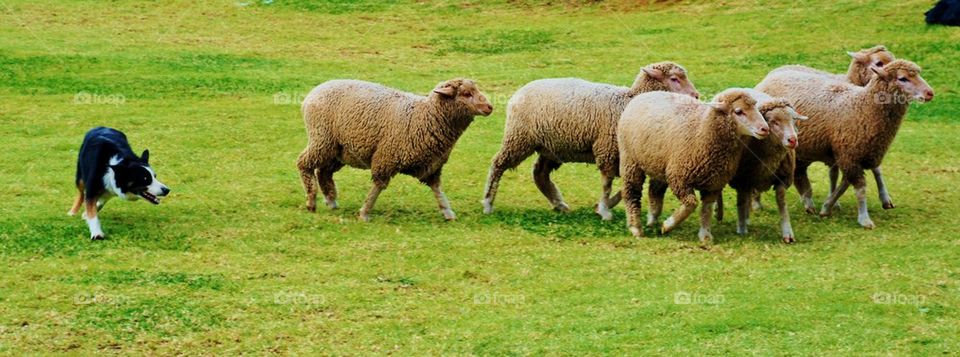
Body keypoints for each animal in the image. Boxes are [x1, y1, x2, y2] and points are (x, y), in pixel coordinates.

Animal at [298, 79, 496, 221]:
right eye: (466, 93)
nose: (490, 107)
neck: (424, 115)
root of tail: (314, 92)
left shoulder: (431, 165)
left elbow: (437, 189)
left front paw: (448, 212)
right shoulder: (386, 157)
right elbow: (378, 186)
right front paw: (365, 213)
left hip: (338, 151)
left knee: (323, 172)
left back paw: (331, 201)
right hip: (322, 140)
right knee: (303, 163)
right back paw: (311, 201)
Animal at [480, 61, 696, 218]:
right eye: (674, 79)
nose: (696, 95)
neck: (627, 102)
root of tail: (518, 93)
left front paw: (602, 206)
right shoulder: (607, 150)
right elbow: (607, 183)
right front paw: (604, 210)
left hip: (551, 147)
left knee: (540, 173)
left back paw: (559, 204)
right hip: (519, 138)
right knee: (498, 164)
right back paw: (488, 203)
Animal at [616, 88, 772, 242]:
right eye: (739, 111)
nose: (765, 129)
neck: (701, 130)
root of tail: (644, 95)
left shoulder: (714, 184)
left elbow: (706, 210)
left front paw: (705, 235)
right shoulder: (678, 178)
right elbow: (691, 204)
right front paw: (668, 225)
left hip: (658, 163)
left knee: (655, 190)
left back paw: (652, 220)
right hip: (630, 160)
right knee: (631, 192)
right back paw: (636, 227)